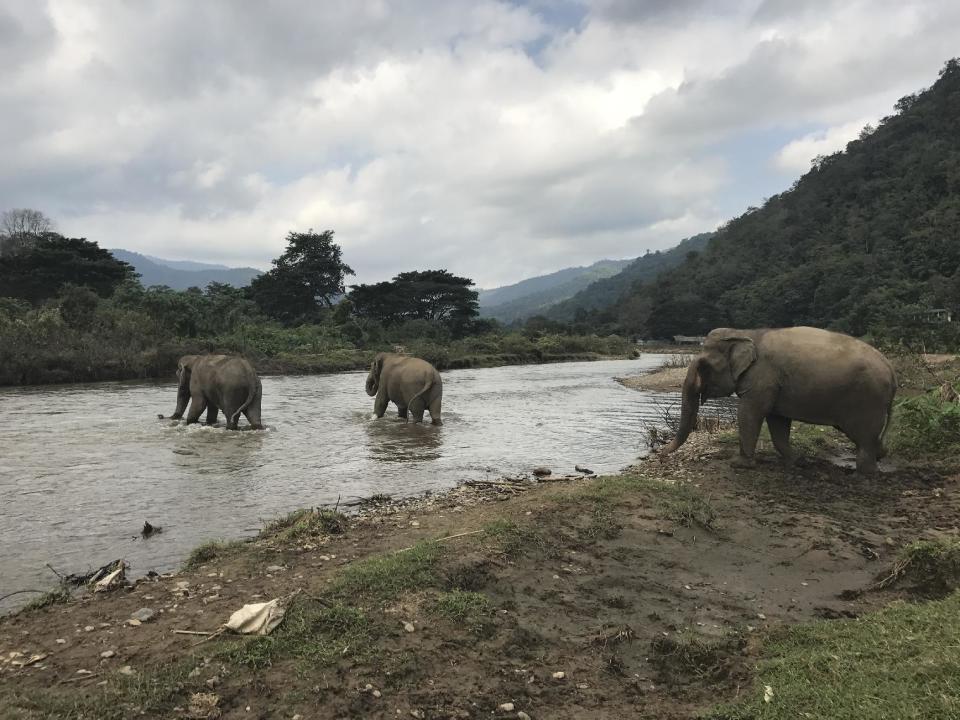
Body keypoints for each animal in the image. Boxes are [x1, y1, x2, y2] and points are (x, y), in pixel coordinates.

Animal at [660, 324, 900, 472]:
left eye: (703, 366)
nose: (660, 454)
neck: (748, 333)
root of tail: (891, 368)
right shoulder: (775, 384)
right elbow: (777, 421)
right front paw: (797, 461)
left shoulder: (762, 377)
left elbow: (749, 413)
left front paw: (739, 464)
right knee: (868, 437)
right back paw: (881, 455)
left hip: (868, 398)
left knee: (864, 436)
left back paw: (866, 471)